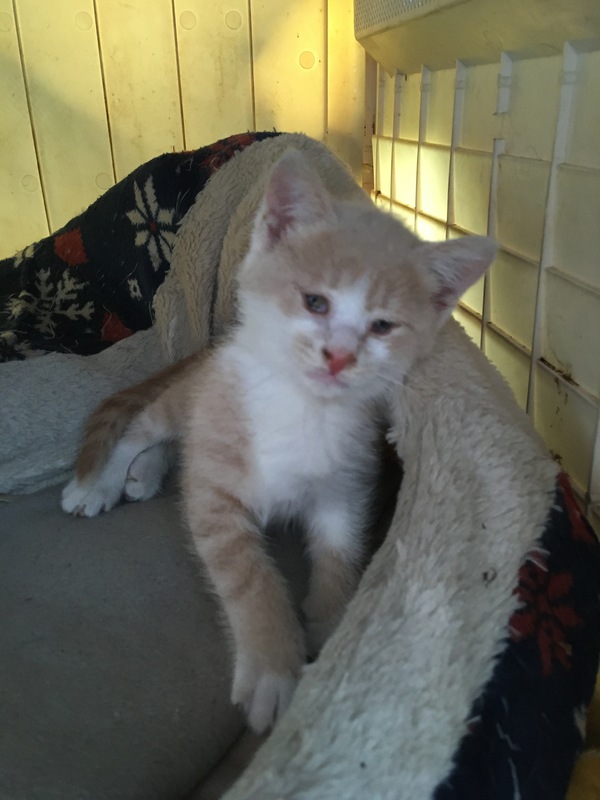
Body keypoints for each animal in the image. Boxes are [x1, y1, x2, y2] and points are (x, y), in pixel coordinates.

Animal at [61, 149, 496, 733]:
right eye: (315, 302)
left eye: (383, 326)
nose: (338, 357)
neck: (303, 409)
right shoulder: (216, 491)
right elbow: (249, 579)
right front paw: (272, 666)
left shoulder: (346, 490)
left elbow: (340, 557)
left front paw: (329, 631)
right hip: (195, 394)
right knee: (143, 428)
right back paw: (104, 482)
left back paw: (144, 476)